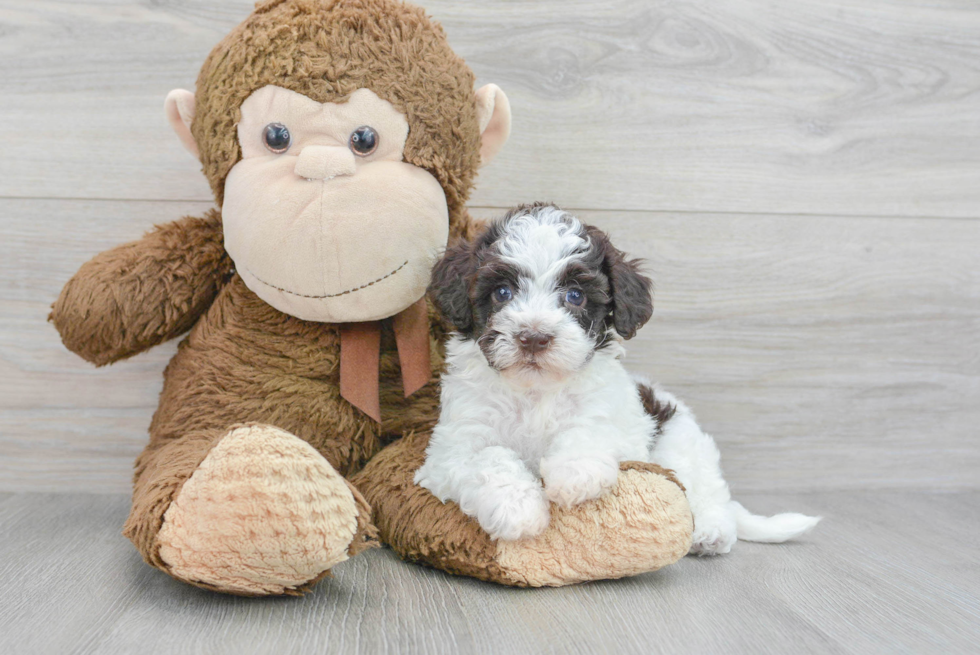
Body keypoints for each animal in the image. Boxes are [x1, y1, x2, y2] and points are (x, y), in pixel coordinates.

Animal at [414, 204, 820, 552]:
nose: (534, 337)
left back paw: (711, 530)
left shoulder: (614, 421)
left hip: (678, 439)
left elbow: (588, 431)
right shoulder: (451, 447)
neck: (536, 392)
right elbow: (488, 457)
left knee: (705, 489)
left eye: (575, 295)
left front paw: (573, 474)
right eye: (502, 292)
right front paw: (517, 509)